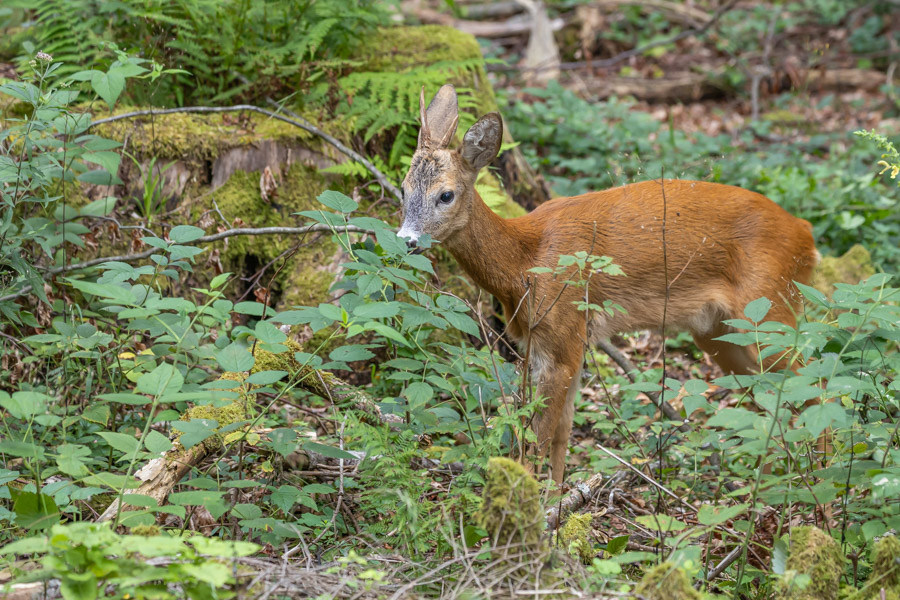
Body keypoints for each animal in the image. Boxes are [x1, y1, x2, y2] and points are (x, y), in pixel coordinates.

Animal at [398, 85, 820, 488]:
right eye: (403, 189)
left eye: (446, 194)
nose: (406, 240)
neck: (522, 263)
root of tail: (806, 235)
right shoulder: (553, 343)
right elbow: (562, 432)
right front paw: (555, 497)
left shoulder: (564, 332)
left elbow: (539, 435)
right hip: (720, 333)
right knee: (773, 394)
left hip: (769, 304)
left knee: (810, 382)